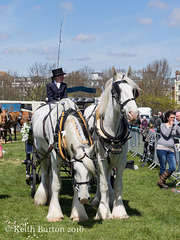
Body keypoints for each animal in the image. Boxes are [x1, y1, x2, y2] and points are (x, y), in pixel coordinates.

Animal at [84, 66, 139, 220]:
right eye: (116, 91)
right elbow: (103, 184)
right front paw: (103, 211)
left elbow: (118, 184)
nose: (134, 114)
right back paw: (98, 199)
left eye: (134, 91)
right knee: (100, 177)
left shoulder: (121, 159)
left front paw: (119, 210)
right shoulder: (101, 158)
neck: (113, 130)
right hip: (96, 158)